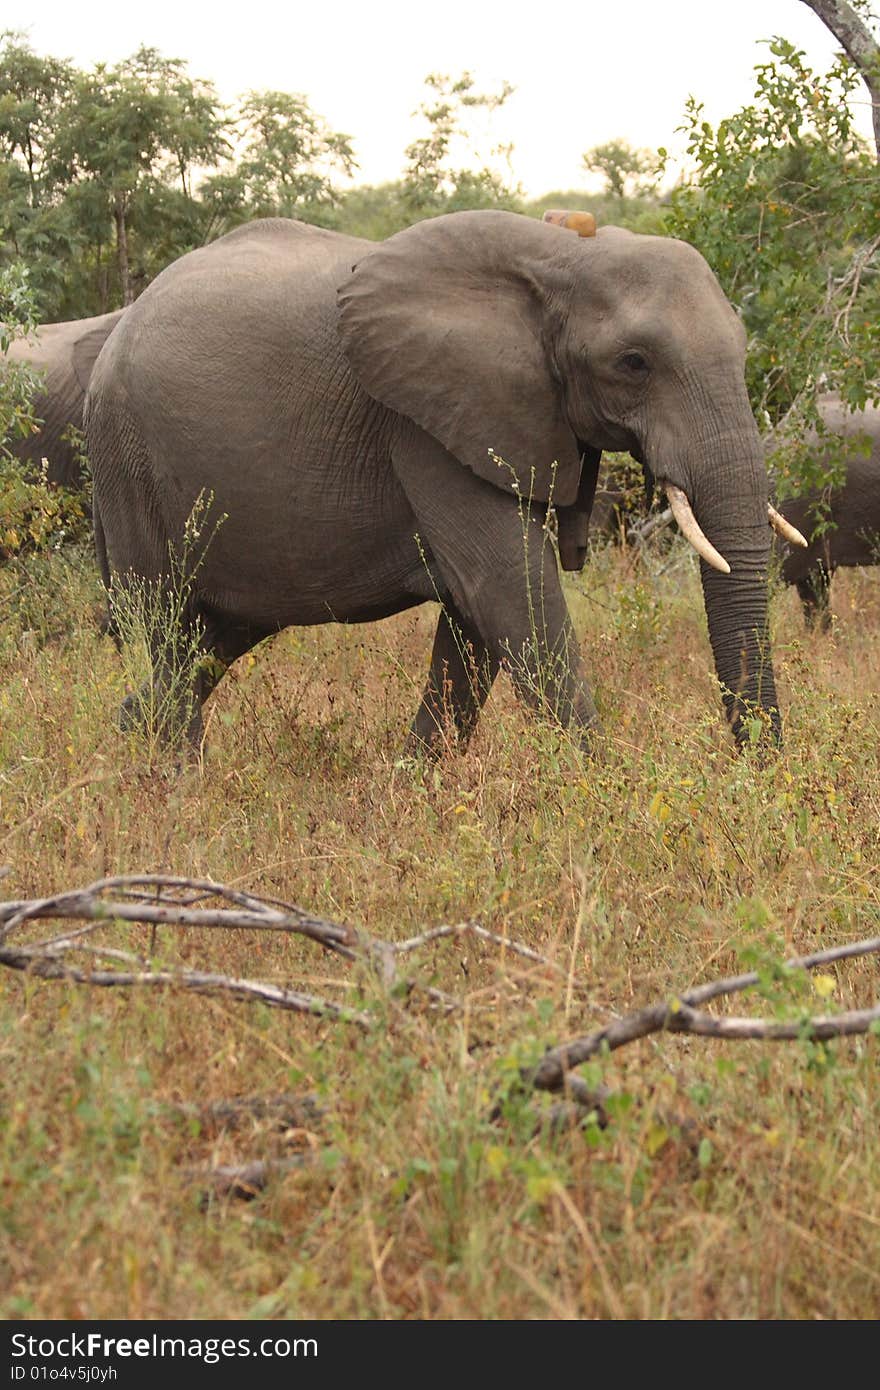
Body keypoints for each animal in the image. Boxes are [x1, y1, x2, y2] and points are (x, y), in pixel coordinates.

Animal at [82, 207, 784, 756]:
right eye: (633, 363)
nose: (758, 774)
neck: (563, 255)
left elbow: (473, 623)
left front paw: (412, 787)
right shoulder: (426, 427)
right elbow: (508, 590)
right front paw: (605, 798)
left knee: (213, 639)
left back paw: (126, 730)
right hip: (127, 460)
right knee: (166, 621)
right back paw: (176, 781)